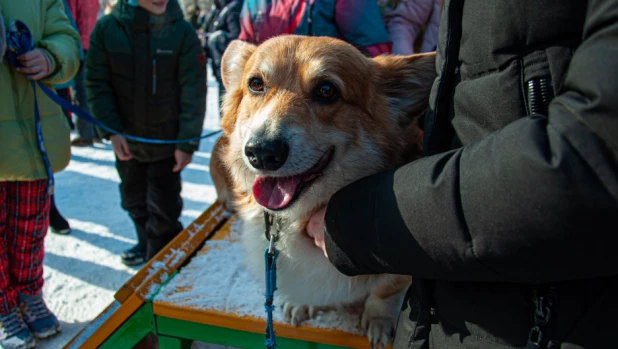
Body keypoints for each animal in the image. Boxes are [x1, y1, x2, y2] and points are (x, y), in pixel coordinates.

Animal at [209, 35, 436, 346]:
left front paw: (379, 322)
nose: (262, 152)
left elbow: (384, 292)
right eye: (256, 84)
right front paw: (302, 304)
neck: (300, 215)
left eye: (327, 90)